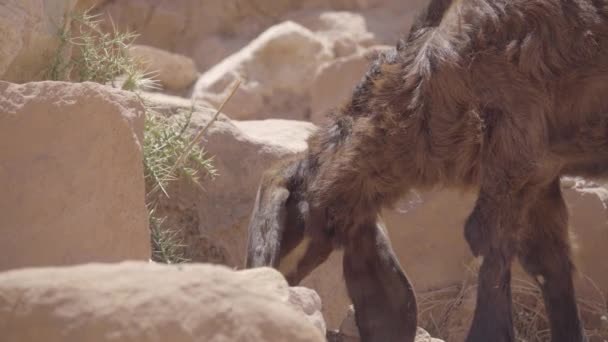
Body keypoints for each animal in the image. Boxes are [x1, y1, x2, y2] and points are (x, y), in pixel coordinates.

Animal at [245, 1, 608, 340]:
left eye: (292, 222)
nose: (274, 283)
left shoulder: (514, 141)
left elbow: (486, 238)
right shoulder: (541, 169)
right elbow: (549, 259)